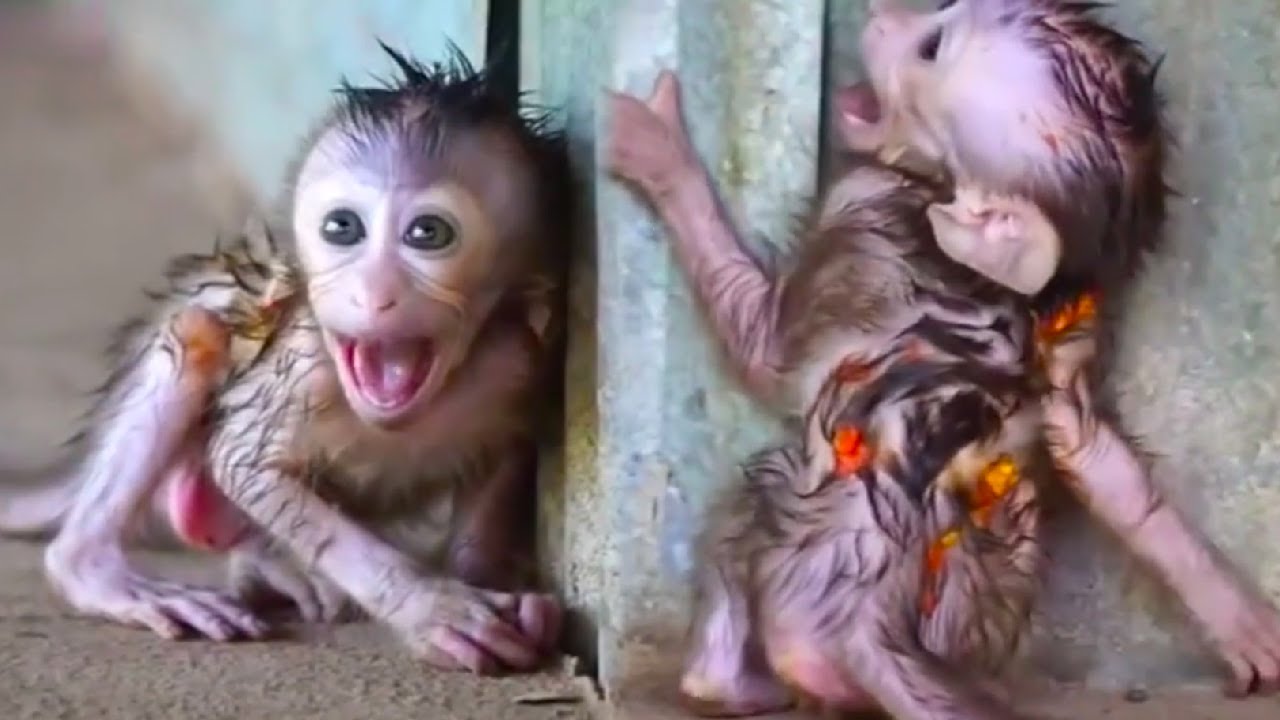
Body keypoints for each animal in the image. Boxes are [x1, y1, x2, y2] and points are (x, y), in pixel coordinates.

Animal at [0, 43, 570, 676]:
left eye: (427, 233)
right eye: (342, 228)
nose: (374, 293)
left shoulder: (517, 360)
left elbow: (509, 451)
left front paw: (494, 586)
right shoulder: (304, 366)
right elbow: (245, 462)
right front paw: (430, 607)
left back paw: (265, 566)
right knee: (198, 329)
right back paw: (94, 567)